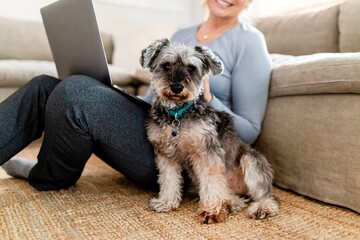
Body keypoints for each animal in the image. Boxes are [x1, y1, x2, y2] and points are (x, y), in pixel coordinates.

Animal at [139, 38, 278, 224]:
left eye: (191, 68)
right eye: (166, 65)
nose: (176, 87)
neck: (177, 114)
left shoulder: (206, 152)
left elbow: (211, 182)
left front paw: (212, 211)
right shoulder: (165, 155)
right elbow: (168, 180)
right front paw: (166, 202)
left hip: (251, 160)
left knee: (266, 195)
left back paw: (262, 208)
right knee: (234, 197)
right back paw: (231, 203)